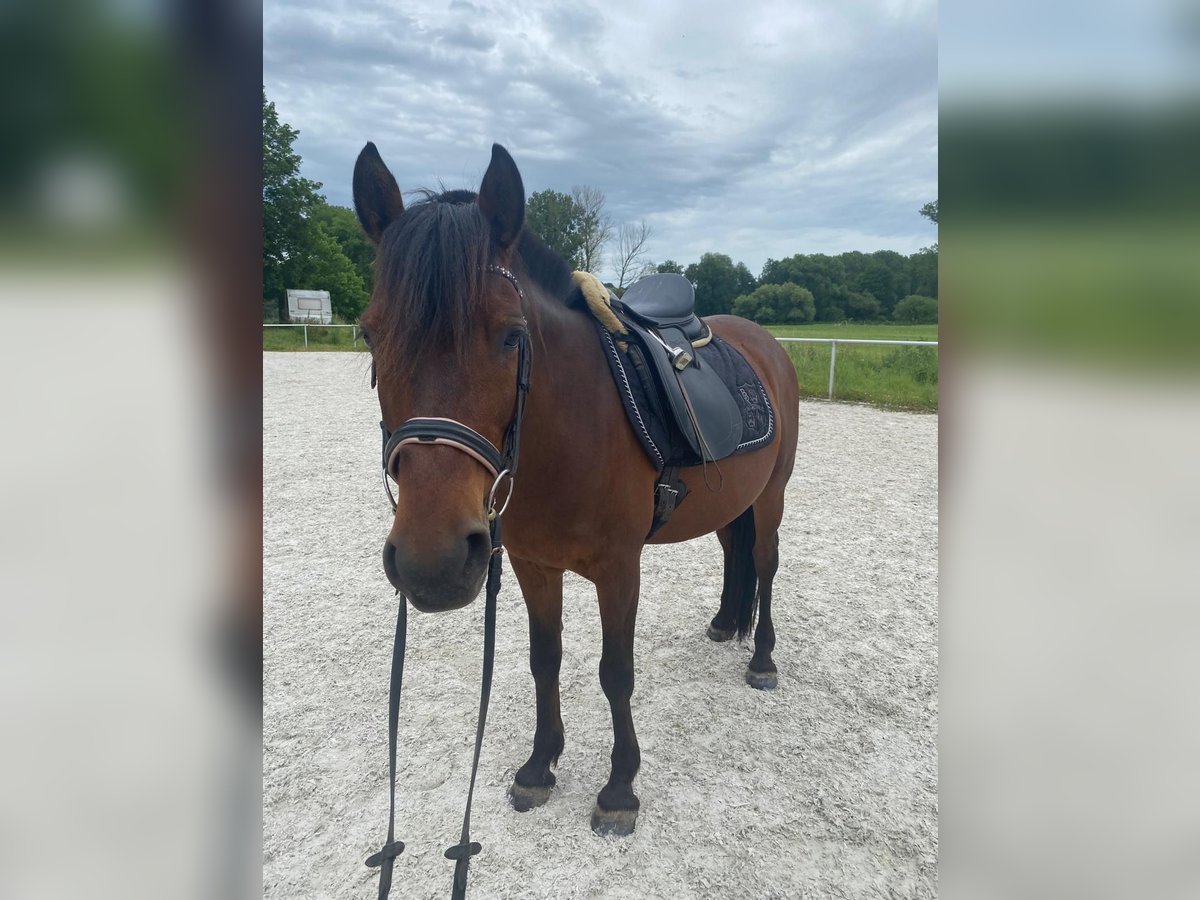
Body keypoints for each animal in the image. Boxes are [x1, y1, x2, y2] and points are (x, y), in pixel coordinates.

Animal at [350, 141, 801, 840]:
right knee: (735, 552)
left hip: (773, 494)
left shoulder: (619, 568)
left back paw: (762, 659)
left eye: (512, 335)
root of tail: (763, 343)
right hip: (735, 497)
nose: (433, 563)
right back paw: (728, 624)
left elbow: (616, 673)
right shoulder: (533, 564)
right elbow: (546, 660)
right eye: (370, 333)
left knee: (765, 561)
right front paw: (540, 767)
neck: (570, 431)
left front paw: (619, 789)